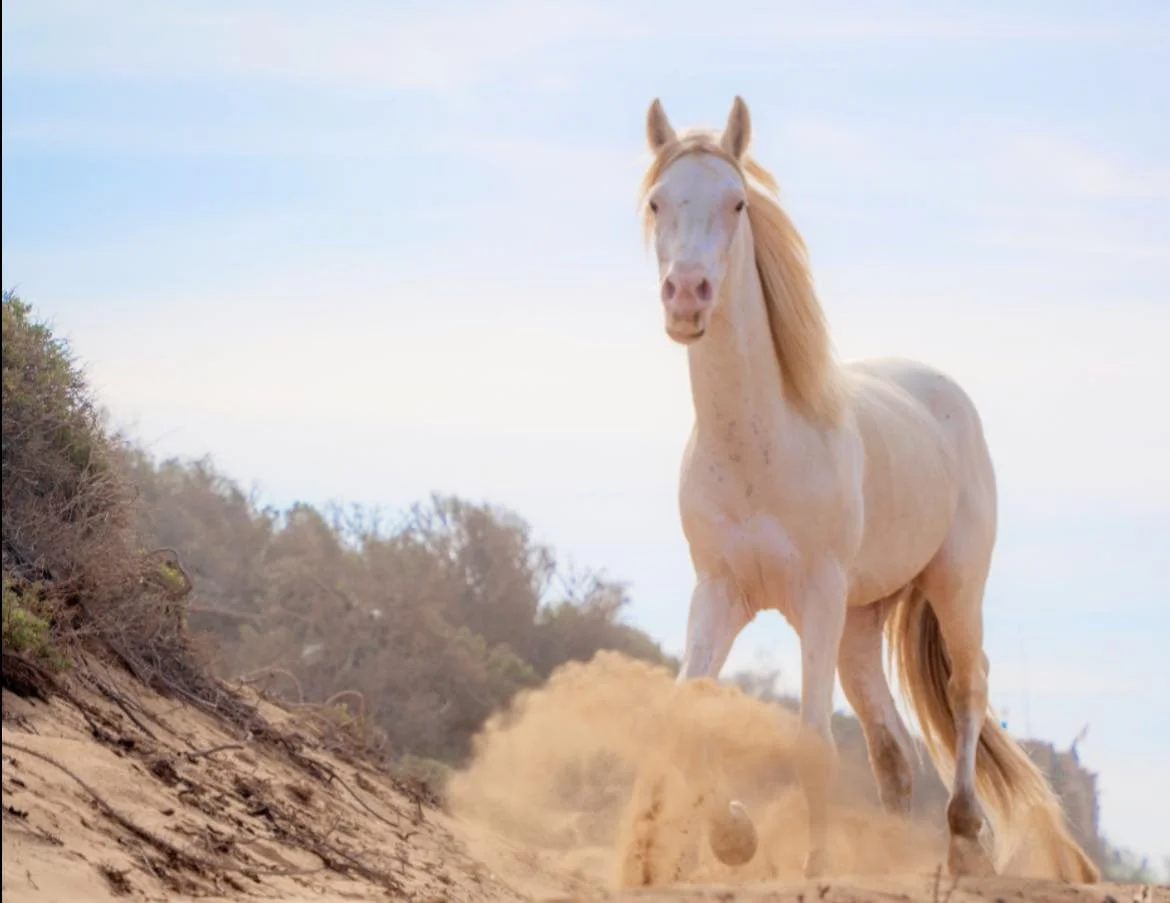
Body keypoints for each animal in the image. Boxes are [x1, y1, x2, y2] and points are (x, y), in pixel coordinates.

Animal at [637, 95, 1099, 883]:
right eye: (658, 200)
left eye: (736, 202)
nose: (688, 296)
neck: (760, 443)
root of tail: (943, 391)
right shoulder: (722, 591)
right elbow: (686, 705)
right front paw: (730, 834)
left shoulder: (815, 594)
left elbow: (813, 741)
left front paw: (811, 863)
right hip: (858, 625)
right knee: (893, 751)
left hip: (952, 586)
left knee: (967, 691)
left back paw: (964, 835)